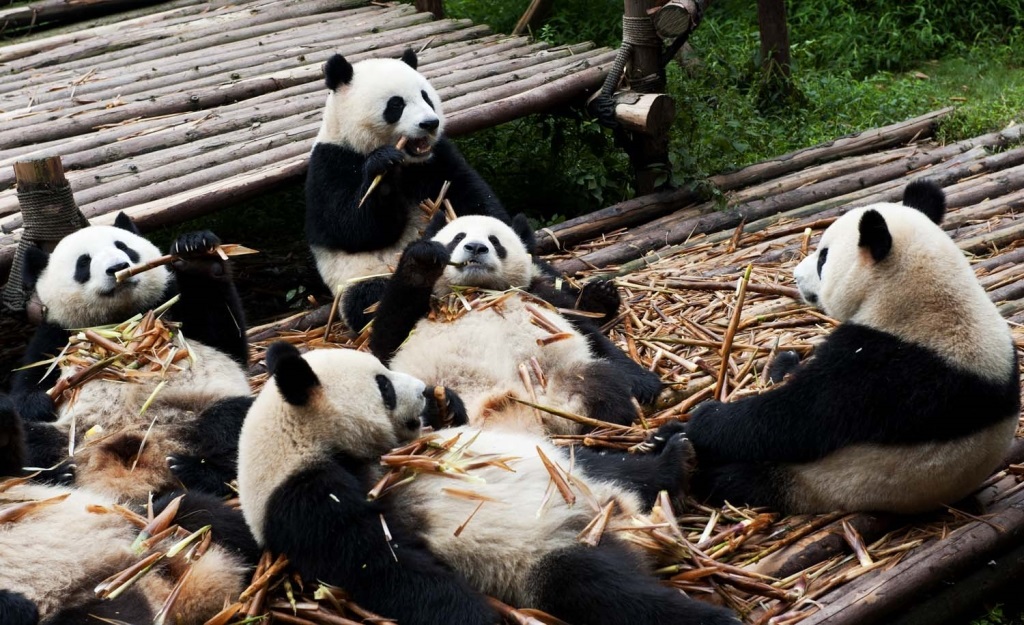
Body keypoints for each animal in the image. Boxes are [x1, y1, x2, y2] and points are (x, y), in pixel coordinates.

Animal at [7, 214, 254, 499]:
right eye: (84, 263)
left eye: (124, 247)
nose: (118, 267)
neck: (120, 319)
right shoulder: (54, 338)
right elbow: (25, 389)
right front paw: (41, 401)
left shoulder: (173, 311)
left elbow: (226, 340)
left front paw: (198, 257)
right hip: (69, 434)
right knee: (27, 437)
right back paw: (58, 475)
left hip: (199, 410)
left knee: (234, 420)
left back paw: (197, 471)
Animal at [236, 342, 738, 625]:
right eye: (384, 385)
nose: (423, 391)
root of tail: (618, 521)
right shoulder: (303, 495)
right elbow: (382, 562)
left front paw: (446, 405)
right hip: (537, 558)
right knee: (606, 594)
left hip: (567, 470)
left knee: (610, 467)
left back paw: (676, 455)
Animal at [305, 48, 514, 331]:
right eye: (396, 104)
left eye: (426, 96)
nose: (430, 123)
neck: (408, 161)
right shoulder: (330, 162)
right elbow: (352, 227)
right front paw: (383, 169)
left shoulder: (437, 159)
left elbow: (470, 194)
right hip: (358, 276)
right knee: (367, 296)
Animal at [368, 214, 663, 435]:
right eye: (458, 237)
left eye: (494, 240)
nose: (476, 248)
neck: (476, 292)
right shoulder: (416, 314)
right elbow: (385, 339)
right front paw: (422, 262)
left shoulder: (543, 298)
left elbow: (592, 335)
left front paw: (646, 385)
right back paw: (444, 409)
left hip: (563, 383)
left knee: (602, 383)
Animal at [686, 180, 1021, 514]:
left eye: (823, 258)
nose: (795, 276)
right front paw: (784, 364)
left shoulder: (881, 371)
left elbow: (794, 420)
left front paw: (705, 418)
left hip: (823, 482)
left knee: (742, 478)